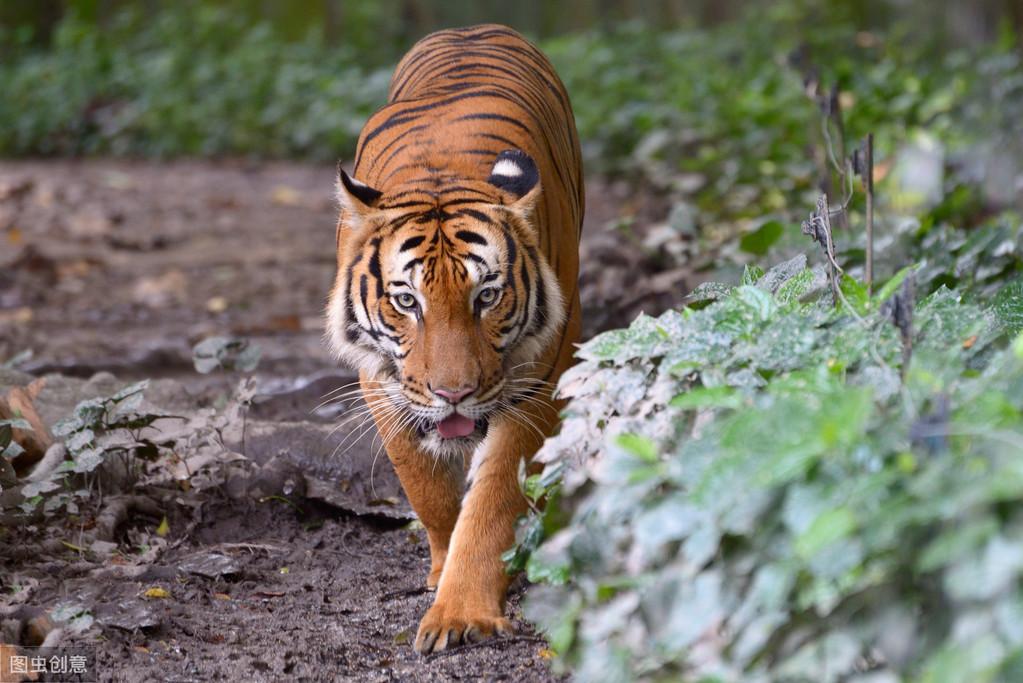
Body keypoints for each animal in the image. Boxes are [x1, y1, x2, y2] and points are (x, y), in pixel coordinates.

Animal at [327, 24, 585, 654]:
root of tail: (472, 28)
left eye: (486, 297)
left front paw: (462, 612)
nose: (454, 395)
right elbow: (427, 487)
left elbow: (492, 500)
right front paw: (442, 569)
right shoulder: (382, 380)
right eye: (406, 302)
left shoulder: (536, 378)